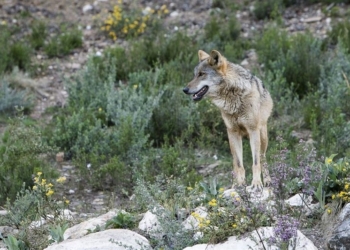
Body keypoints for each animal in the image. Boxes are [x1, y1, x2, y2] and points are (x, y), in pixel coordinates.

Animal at [183, 49, 274, 188]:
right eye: (194, 75)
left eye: (201, 74)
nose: (185, 89)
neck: (233, 97)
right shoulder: (232, 132)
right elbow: (239, 164)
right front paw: (239, 185)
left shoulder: (253, 130)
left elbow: (255, 162)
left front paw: (256, 183)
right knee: (235, 162)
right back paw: (234, 183)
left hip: (262, 136)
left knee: (262, 157)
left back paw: (268, 181)